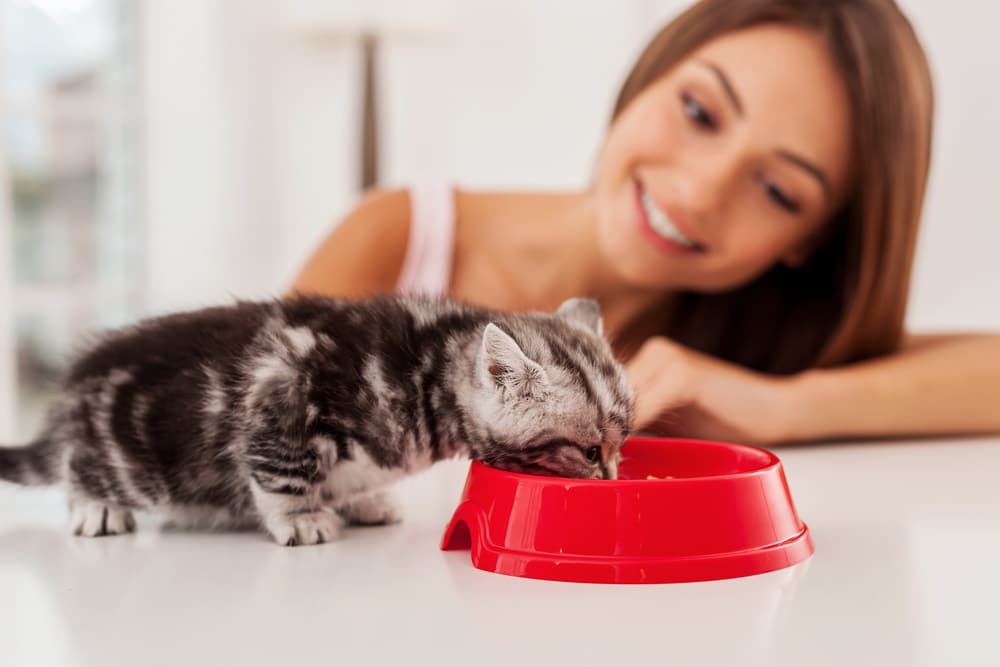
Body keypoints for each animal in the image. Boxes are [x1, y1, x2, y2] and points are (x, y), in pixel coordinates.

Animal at [0, 298, 632, 548]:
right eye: (589, 450)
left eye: (621, 444)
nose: (614, 480)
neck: (425, 370)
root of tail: (71, 393)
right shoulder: (279, 395)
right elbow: (280, 471)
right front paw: (301, 517)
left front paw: (362, 499)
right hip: (134, 461)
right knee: (78, 467)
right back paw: (95, 506)